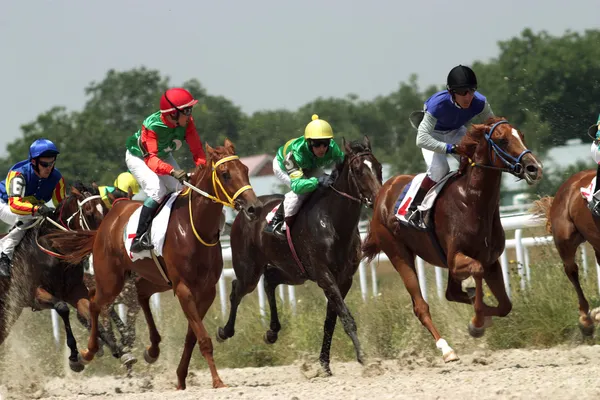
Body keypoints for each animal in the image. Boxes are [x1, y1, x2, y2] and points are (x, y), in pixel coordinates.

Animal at [45, 139, 262, 390]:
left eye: (245, 170)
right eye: (225, 174)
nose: (254, 207)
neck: (194, 226)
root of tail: (106, 223)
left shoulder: (206, 291)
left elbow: (192, 336)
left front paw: (180, 378)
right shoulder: (184, 289)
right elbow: (203, 338)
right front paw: (217, 381)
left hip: (153, 279)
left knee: (140, 296)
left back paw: (152, 349)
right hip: (111, 280)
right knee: (95, 303)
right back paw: (88, 353)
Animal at [216, 138, 382, 376]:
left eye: (378, 167)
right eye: (359, 171)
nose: (377, 199)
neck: (333, 222)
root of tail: (243, 212)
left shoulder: (344, 279)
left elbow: (331, 320)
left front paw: (324, 363)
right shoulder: (324, 276)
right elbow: (345, 317)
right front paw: (364, 358)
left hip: (294, 272)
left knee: (270, 280)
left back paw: (272, 331)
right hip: (249, 269)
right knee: (237, 289)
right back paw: (224, 331)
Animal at [360, 118, 544, 362]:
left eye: (521, 135)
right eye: (502, 140)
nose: (534, 168)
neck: (472, 202)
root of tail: (382, 193)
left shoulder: (490, 260)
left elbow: (505, 305)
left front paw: (480, 318)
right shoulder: (456, 259)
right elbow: (476, 271)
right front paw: (477, 322)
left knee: (451, 293)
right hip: (398, 254)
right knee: (421, 306)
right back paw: (446, 349)